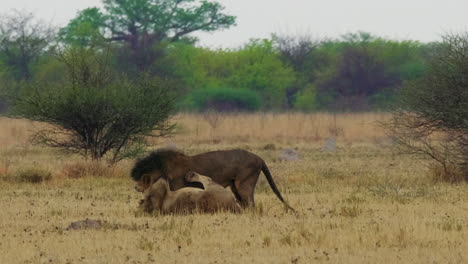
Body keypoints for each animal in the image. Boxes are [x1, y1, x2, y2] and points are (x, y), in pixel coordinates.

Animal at [131, 148, 292, 210]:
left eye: (141, 179)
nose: (136, 187)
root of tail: (259, 158)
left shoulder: (177, 190)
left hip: (244, 184)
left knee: (250, 203)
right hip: (235, 187)